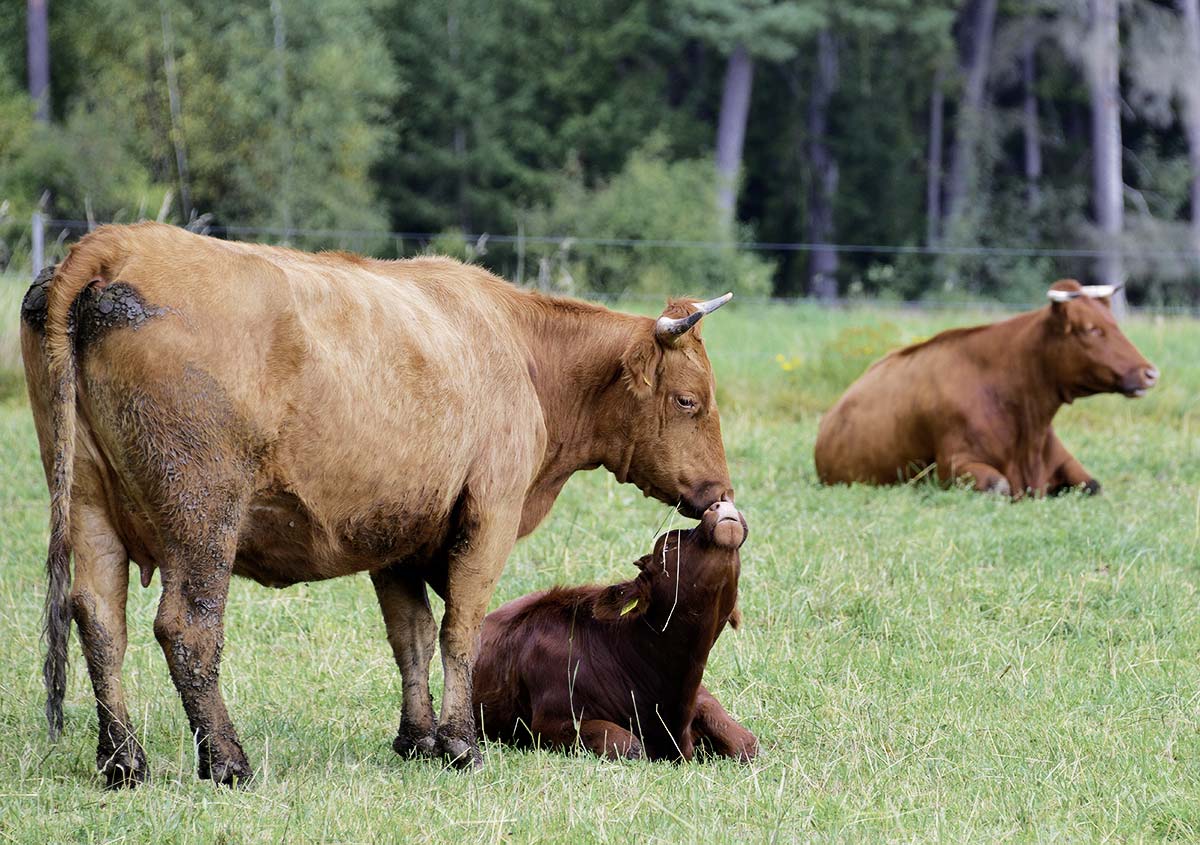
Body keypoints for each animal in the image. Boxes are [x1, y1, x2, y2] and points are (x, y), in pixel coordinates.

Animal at [472, 499, 753, 763]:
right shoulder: (550, 720)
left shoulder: (703, 699)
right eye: (668, 545)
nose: (720, 504)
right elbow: (629, 746)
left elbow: (747, 744)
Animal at [811, 280, 1156, 499]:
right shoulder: (952, 465)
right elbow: (999, 486)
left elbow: (1094, 485)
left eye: (1114, 324)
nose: (1150, 373)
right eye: (1091, 329)